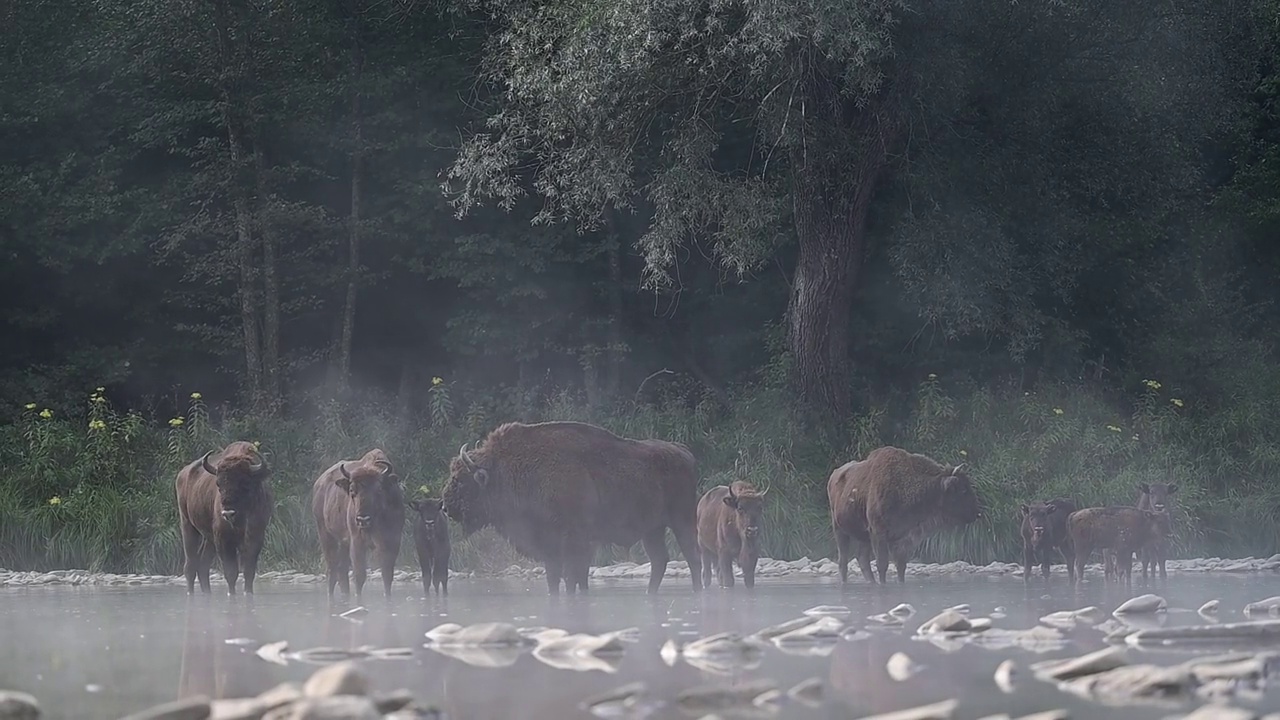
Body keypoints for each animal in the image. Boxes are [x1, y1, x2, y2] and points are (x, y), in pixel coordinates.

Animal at [175, 440, 272, 597]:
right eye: (218, 484)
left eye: (245, 483)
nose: (228, 513)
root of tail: (183, 473)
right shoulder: (223, 539)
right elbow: (231, 572)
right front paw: (231, 594)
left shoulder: (256, 538)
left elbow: (249, 571)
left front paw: (248, 593)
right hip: (187, 524)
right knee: (190, 566)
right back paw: (191, 593)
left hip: (208, 538)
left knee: (203, 565)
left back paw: (207, 593)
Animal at [311, 448, 404, 594]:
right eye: (351, 490)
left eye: (379, 489)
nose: (362, 519)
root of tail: (319, 483)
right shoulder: (357, 542)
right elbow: (359, 575)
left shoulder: (391, 541)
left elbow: (387, 574)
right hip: (326, 536)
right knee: (332, 571)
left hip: (342, 543)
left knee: (341, 571)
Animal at [437, 417, 701, 591]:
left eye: (460, 480)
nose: (445, 507)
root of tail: (684, 452)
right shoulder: (550, 546)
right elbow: (557, 578)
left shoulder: (576, 541)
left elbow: (574, 576)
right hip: (652, 530)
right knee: (660, 560)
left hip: (682, 520)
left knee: (692, 557)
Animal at [829, 443, 977, 584]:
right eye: (963, 489)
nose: (977, 513)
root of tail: (834, 475)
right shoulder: (879, 533)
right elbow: (882, 565)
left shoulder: (904, 538)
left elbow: (901, 566)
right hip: (839, 529)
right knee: (843, 562)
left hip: (863, 536)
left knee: (862, 560)